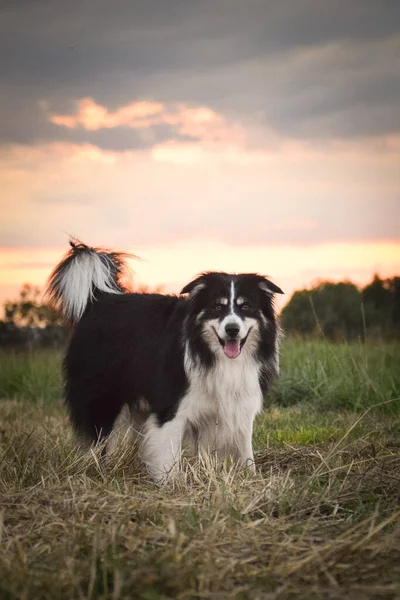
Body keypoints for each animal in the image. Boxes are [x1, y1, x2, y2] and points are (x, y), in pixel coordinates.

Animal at [47, 241, 282, 480]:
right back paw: (96, 469)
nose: (232, 329)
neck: (212, 353)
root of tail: (99, 298)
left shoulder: (239, 402)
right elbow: (168, 452)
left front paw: (251, 475)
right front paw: (171, 482)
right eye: (218, 306)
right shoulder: (171, 406)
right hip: (104, 395)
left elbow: (245, 447)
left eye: (246, 307)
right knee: (100, 437)